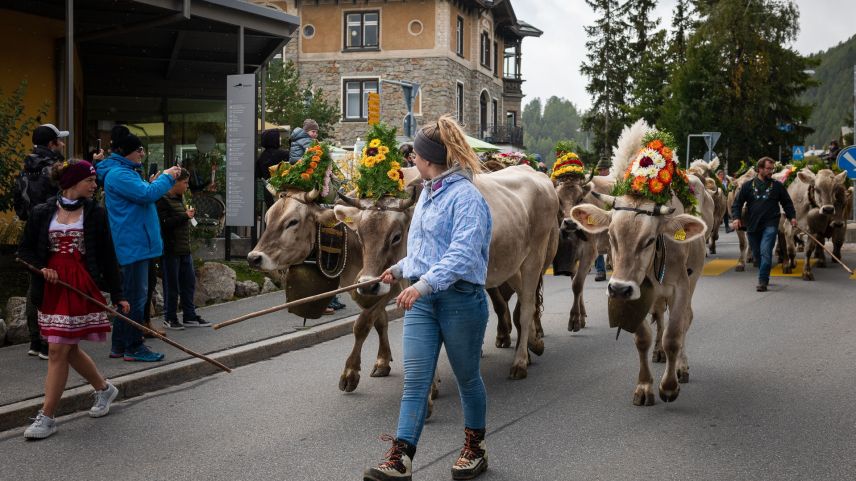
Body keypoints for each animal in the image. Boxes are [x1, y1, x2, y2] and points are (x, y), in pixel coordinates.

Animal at [334, 165, 560, 378]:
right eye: (360, 235)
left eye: (396, 236)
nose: (367, 286)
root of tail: (536, 174)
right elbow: (371, 320)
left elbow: (367, 320)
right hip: (511, 263)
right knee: (524, 299)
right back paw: (534, 344)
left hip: (535, 258)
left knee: (527, 306)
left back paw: (520, 361)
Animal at [568, 118, 708, 404]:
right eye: (611, 236)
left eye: (650, 239)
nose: (618, 289)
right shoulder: (636, 290)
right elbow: (643, 337)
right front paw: (644, 386)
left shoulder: (680, 287)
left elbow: (674, 335)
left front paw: (669, 386)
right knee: (659, 317)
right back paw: (659, 354)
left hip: (694, 278)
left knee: (685, 320)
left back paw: (681, 367)